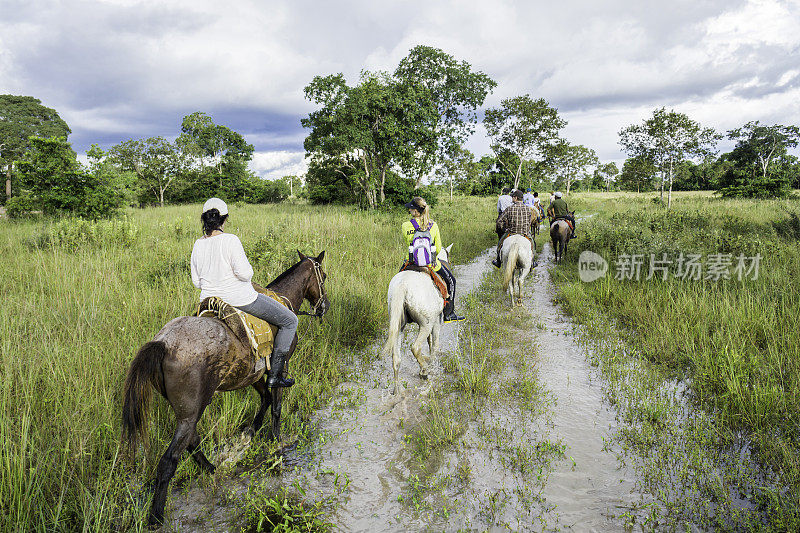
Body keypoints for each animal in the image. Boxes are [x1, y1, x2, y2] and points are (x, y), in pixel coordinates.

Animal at [119, 251, 332, 524]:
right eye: (322, 276)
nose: (324, 306)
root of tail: (162, 344)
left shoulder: (254, 374)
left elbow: (265, 399)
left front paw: (251, 432)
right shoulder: (280, 367)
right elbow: (276, 404)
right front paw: (276, 440)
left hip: (187, 410)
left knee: (192, 442)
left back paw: (212, 468)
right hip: (191, 411)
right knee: (170, 459)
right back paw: (156, 516)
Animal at [384, 243, 454, 392]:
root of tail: (402, 286)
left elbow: (429, 341)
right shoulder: (436, 320)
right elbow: (435, 344)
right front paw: (433, 364)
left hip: (399, 325)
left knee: (396, 359)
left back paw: (397, 390)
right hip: (425, 324)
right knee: (415, 348)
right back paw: (425, 371)